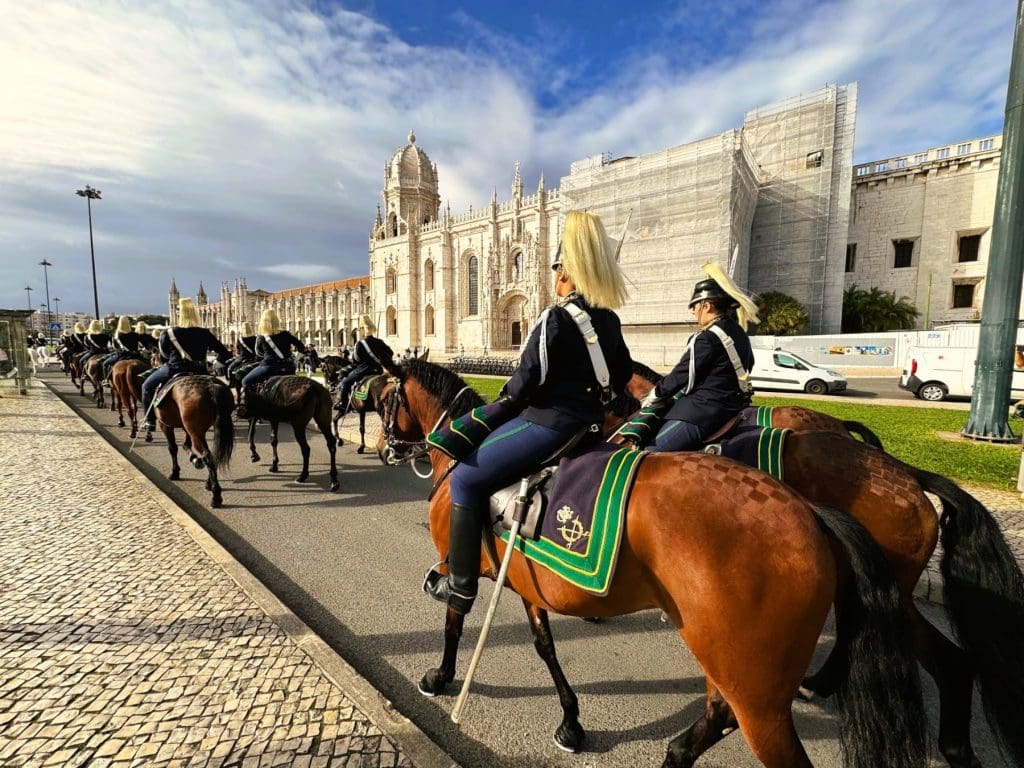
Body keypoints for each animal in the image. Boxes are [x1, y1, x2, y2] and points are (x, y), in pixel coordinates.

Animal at [153, 376, 234, 507]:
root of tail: (211, 387)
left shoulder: (165, 425)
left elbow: (173, 448)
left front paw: (175, 472)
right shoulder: (186, 429)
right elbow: (185, 445)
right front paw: (194, 459)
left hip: (196, 434)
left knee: (208, 457)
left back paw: (216, 496)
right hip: (205, 431)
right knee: (213, 455)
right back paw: (209, 484)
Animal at [376, 360, 929, 768]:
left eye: (383, 398)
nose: (384, 447)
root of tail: (808, 513)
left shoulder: (459, 563)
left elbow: (455, 619)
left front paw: (440, 676)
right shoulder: (528, 583)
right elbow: (544, 645)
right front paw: (571, 721)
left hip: (761, 699)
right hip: (734, 665)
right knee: (717, 714)